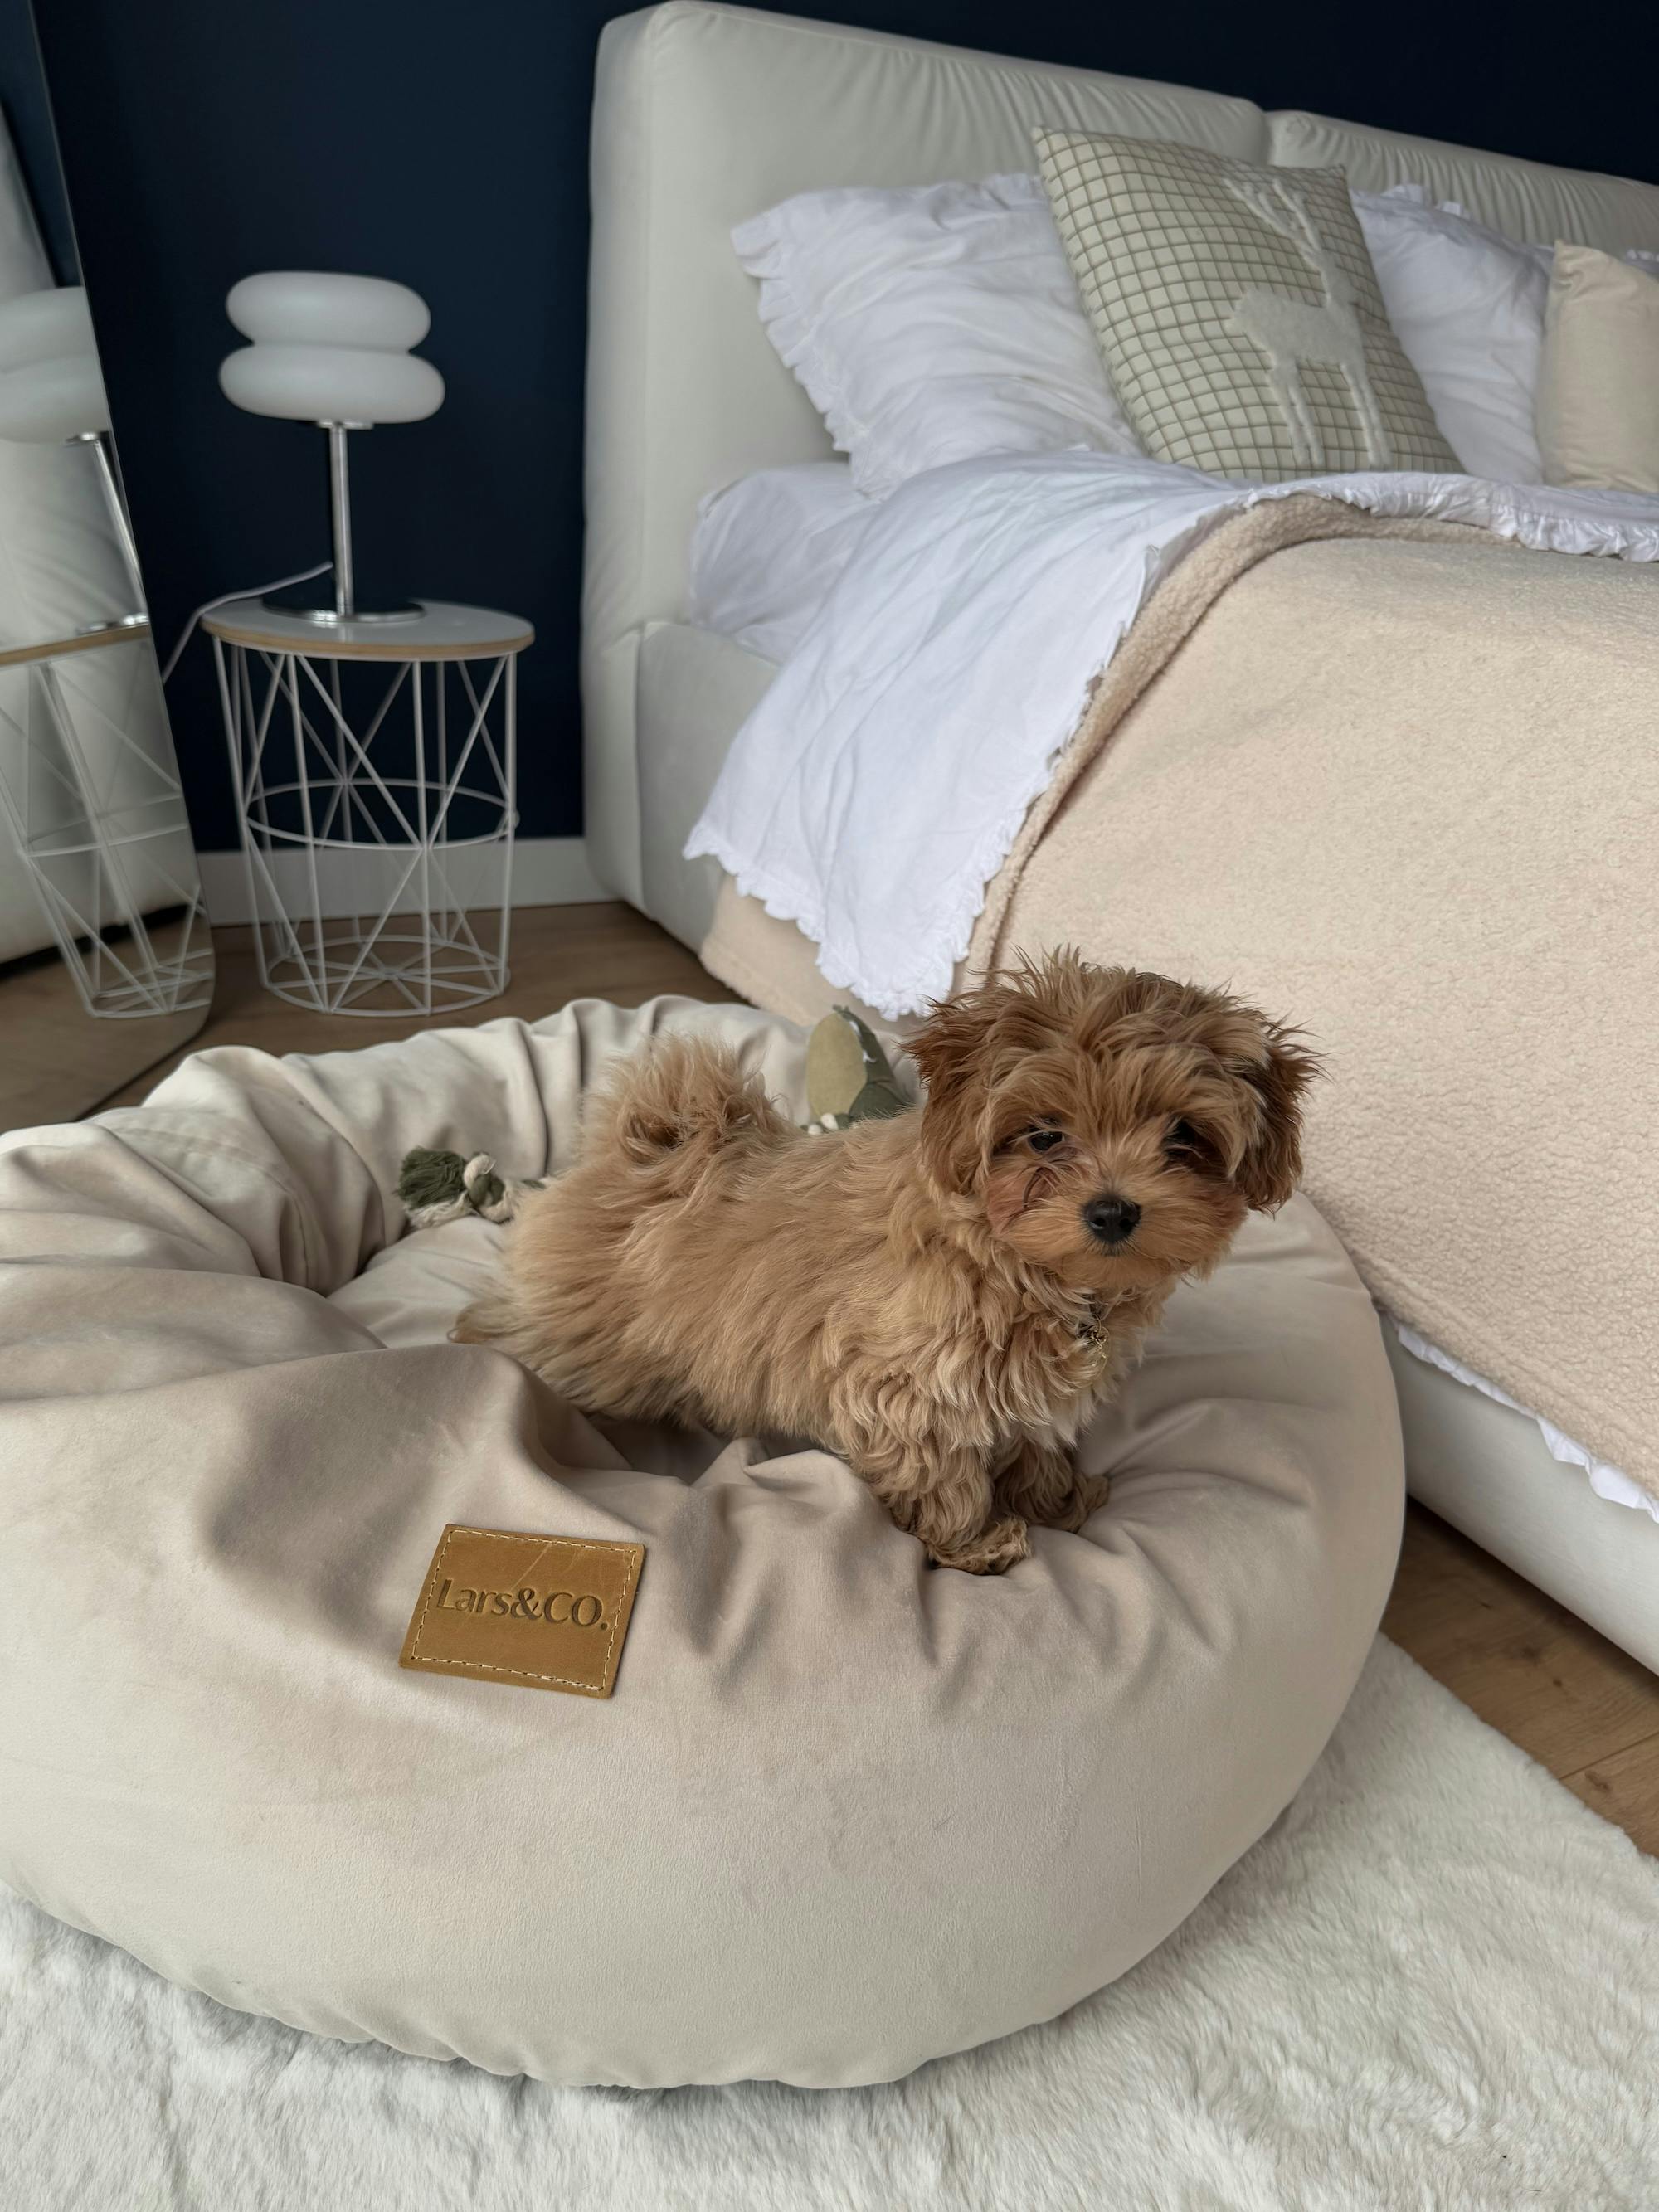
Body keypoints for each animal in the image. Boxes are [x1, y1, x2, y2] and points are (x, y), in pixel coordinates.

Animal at [454, 953, 1317, 1572]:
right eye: (1043, 1135)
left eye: (1183, 1135)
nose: (1113, 1210)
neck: (1017, 1261)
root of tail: (637, 1154)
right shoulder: (906, 1388)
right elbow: (947, 1479)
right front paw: (975, 1545)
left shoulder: (1025, 1389)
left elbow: (1034, 1441)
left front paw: (1055, 1500)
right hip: (586, 1342)